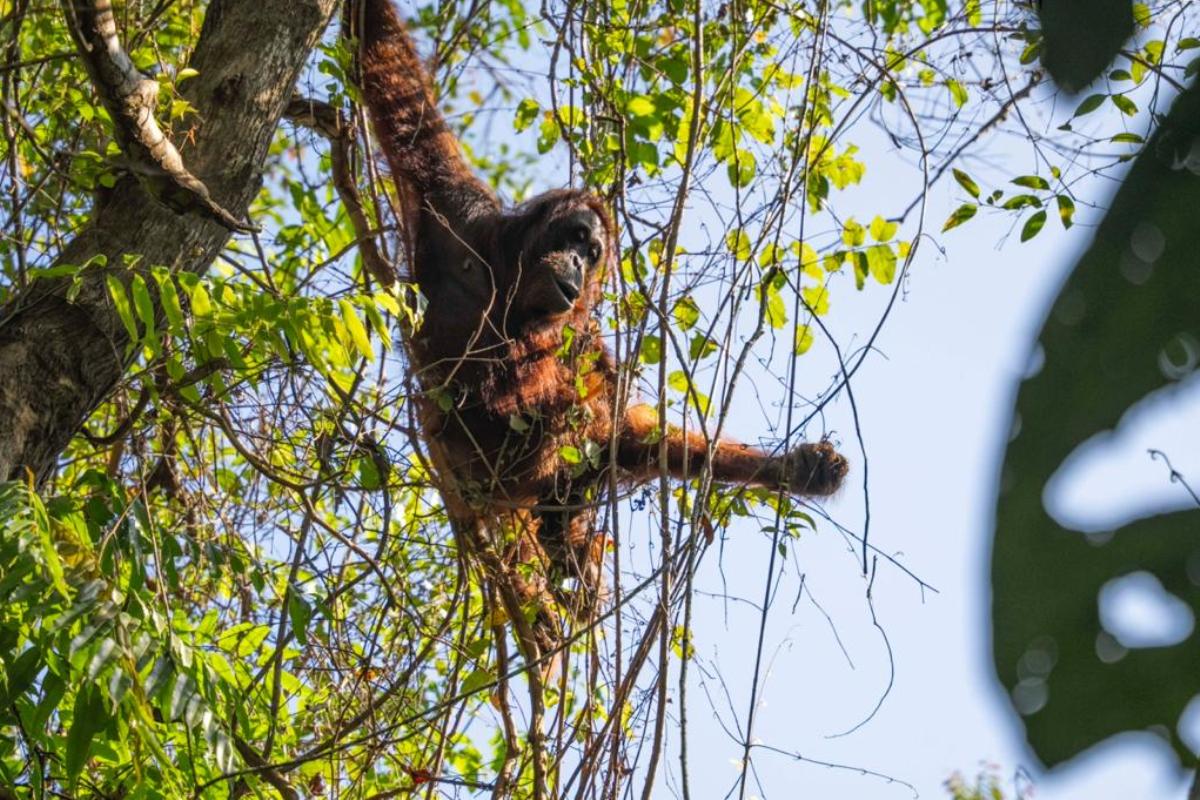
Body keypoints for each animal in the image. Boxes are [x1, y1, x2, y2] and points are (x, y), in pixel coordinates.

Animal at [355, 0, 847, 657]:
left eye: (593, 256)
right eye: (576, 238)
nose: (576, 265)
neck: (511, 296)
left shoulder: (582, 333)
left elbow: (625, 428)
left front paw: (800, 468)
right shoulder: (455, 208)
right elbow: (400, 94)